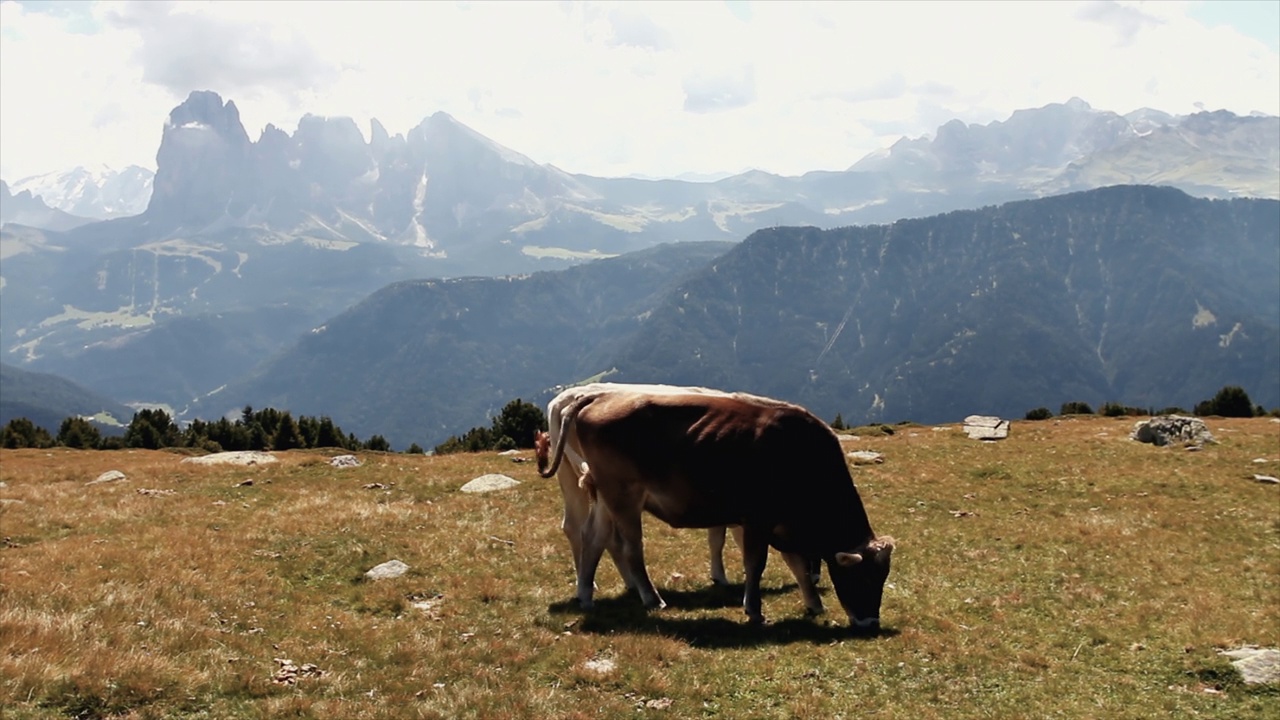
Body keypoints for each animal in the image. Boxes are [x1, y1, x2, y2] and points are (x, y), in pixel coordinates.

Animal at [532, 384, 890, 625]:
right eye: (865, 578)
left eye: (882, 578)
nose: (870, 623)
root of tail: (598, 396)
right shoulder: (757, 519)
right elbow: (755, 563)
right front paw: (753, 608)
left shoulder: (779, 522)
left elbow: (796, 563)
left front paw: (814, 603)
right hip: (623, 496)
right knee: (630, 547)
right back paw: (651, 598)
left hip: (605, 495)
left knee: (593, 536)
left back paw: (586, 595)